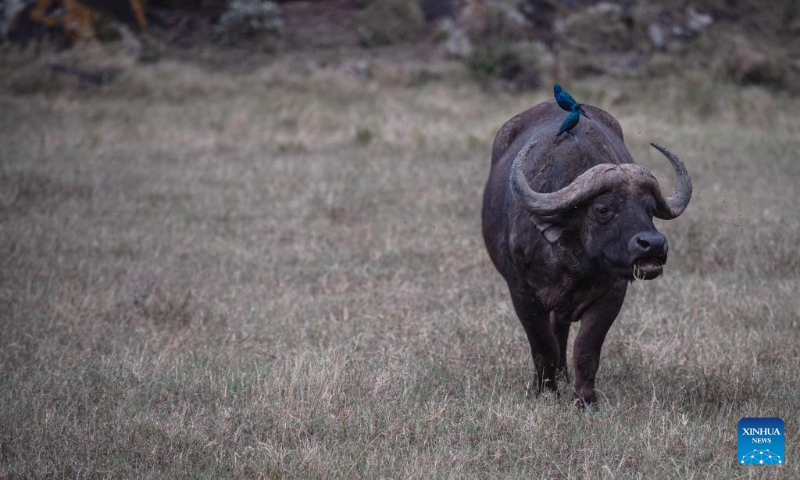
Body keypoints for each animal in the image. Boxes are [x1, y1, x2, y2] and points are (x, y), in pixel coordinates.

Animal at [482, 100, 692, 404]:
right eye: (603, 209)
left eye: (650, 209)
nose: (653, 244)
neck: (573, 265)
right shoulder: (521, 293)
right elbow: (543, 346)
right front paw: (545, 392)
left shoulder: (613, 293)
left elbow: (586, 348)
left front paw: (585, 399)